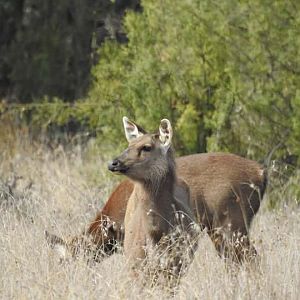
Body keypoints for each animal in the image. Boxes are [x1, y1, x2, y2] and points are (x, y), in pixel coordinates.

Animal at [108, 117, 199, 282]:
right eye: (129, 145)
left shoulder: (177, 264)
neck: (156, 235)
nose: (113, 163)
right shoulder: (135, 264)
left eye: (147, 147)